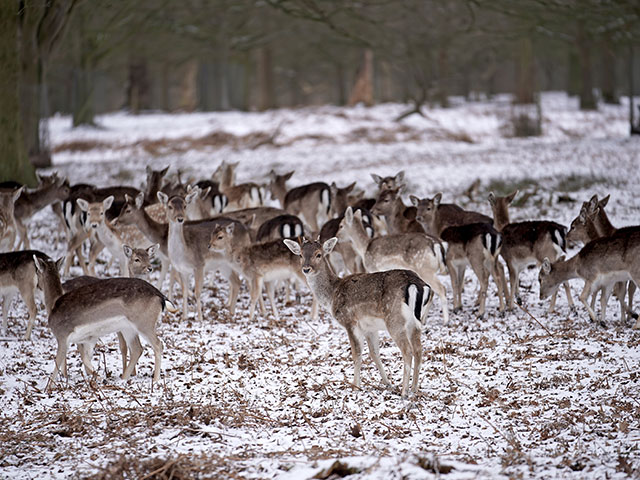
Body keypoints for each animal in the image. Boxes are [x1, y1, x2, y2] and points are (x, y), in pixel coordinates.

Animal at [32, 253, 172, 388]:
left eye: (37, 271)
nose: (37, 286)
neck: (53, 305)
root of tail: (161, 297)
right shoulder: (89, 339)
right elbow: (85, 359)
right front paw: (99, 377)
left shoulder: (62, 336)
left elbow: (57, 364)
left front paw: (48, 388)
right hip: (128, 328)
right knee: (137, 349)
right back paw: (123, 378)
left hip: (144, 323)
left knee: (158, 344)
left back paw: (155, 380)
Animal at [159, 189, 241, 320]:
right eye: (170, 206)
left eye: (185, 206)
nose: (180, 218)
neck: (183, 254)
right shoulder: (182, 270)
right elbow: (184, 292)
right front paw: (184, 317)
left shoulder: (199, 265)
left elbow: (197, 292)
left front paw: (200, 318)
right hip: (224, 266)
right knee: (236, 282)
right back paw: (231, 312)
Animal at [284, 236, 430, 398]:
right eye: (301, 255)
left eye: (318, 254)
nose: (306, 269)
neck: (332, 296)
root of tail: (418, 285)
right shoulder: (370, 327)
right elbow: (374, 353)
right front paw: (388, 383)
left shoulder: (349, 321)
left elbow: (356, 353)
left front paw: (355, 386)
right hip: (415, 323)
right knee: (419, 350)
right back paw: (414, 389)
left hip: (395, 320)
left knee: (407, 351)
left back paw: (404, 391)